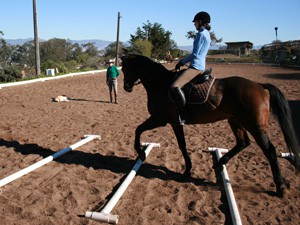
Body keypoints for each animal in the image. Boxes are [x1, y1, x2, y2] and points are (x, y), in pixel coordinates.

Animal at [122, 53, 300, 197]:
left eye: (125, 69)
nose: (126, 87)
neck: (160, 84)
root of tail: (260, 86)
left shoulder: (164, 120)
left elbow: (148, 132)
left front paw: (142, 153)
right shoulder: (167, 121)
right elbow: (143, 131)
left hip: (255, 126)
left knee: (270, 151)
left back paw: (280, 187)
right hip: (235, 120)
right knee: (243, 142)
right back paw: (221, 163)